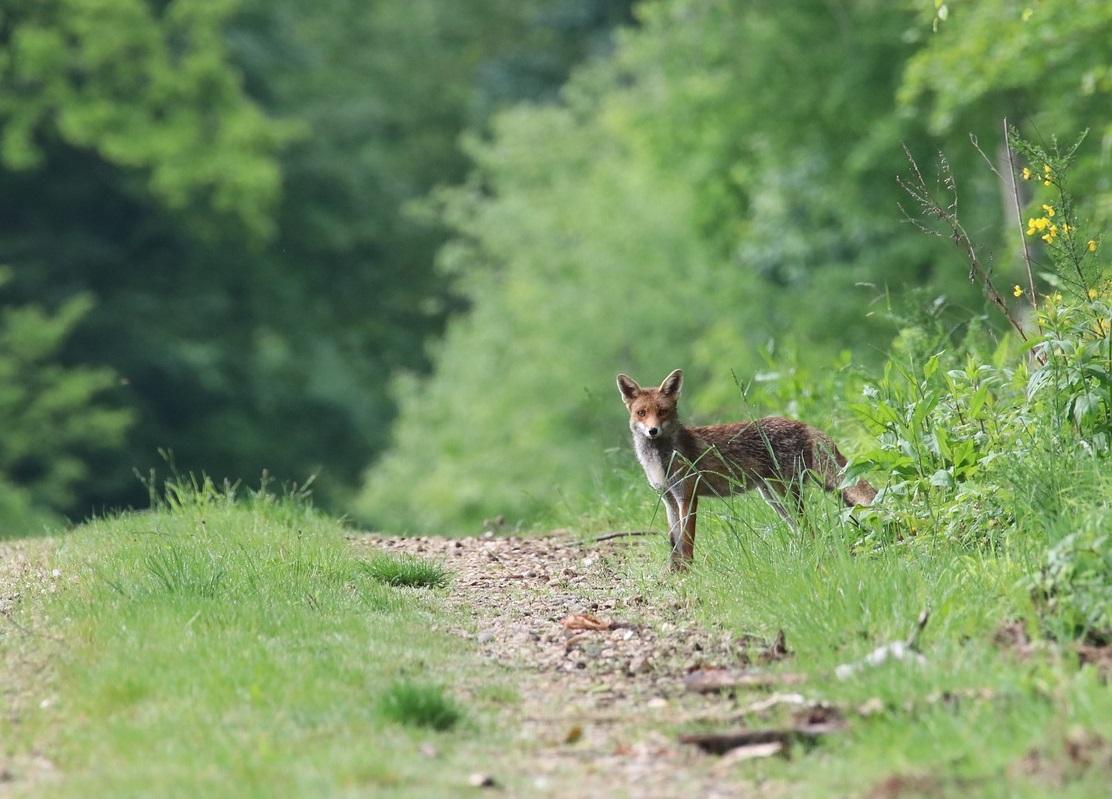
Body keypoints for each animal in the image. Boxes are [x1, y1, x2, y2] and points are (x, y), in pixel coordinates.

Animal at [618, 368, 876, 568]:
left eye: (662, 412)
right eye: (641, 413)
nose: (653, 431)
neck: (660, 460)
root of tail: (803, 424)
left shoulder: (688, 497)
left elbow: (687, 542)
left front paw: (689, 572)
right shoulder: (669, 499)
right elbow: (674, 542)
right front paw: (674, 571)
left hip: (786, 493)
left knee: (810, 526)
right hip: (773, 498)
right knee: (803, 528)